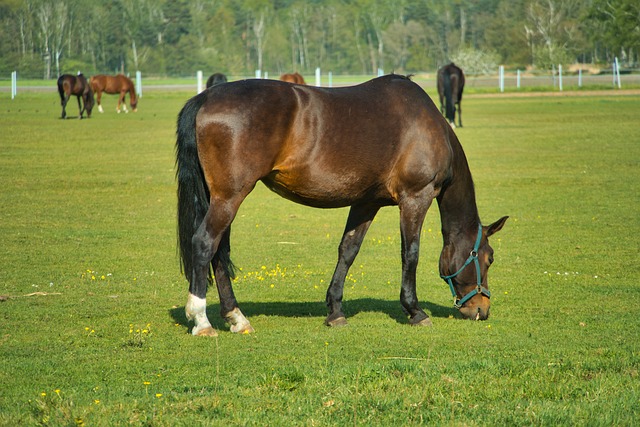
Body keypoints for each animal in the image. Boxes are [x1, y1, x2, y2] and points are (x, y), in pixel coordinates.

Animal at [175, 74, 504, 338]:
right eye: (488, 259)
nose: (482, 308)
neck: (424, 124)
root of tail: (206, 97)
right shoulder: (416, 198)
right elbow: (410, 254)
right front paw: (415, 311)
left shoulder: (366, 202)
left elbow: (348, 251)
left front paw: (335, 311)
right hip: (230, 197)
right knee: (205, 243)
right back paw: (201, 321)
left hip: (221, 198)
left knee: (219, 252)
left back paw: (236, 318)